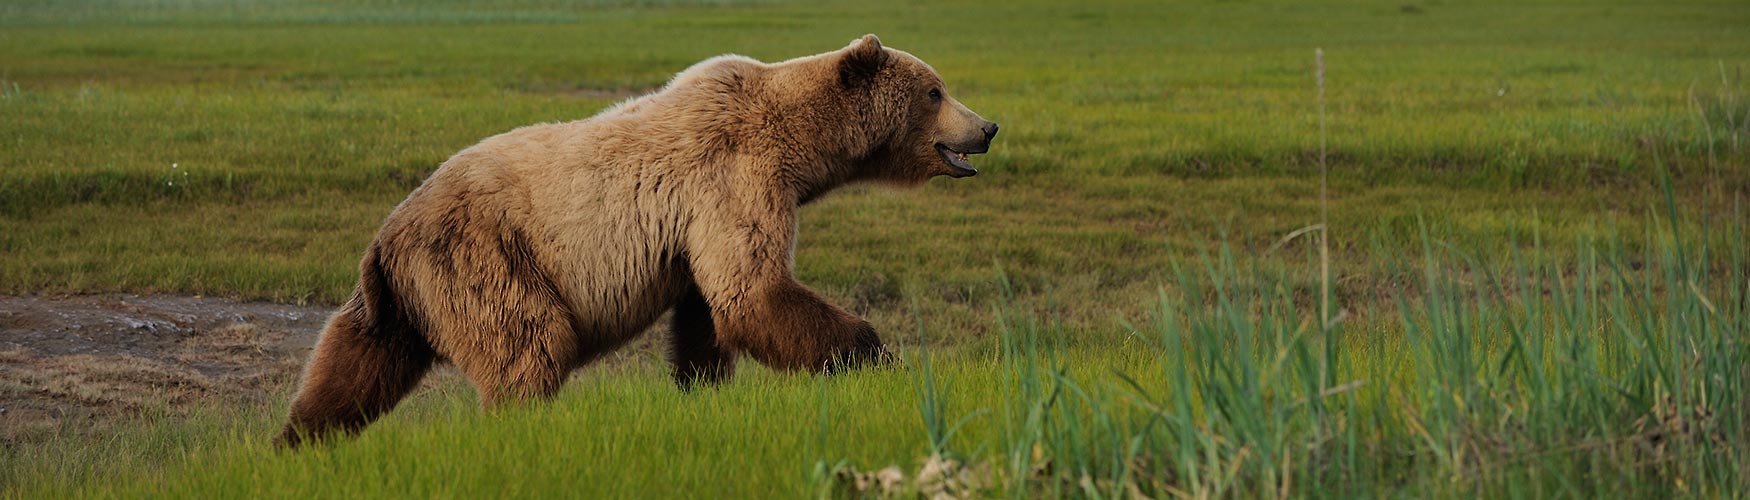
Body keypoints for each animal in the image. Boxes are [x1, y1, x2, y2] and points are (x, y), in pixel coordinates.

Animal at [276, 35, 998, 447]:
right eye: (935, 90)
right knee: (528, 345)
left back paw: (298, 442)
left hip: (399, 296)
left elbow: (710, 313)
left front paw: (703, 389)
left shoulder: (699, 223)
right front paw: (879, 356)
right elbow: (755, 293)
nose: (987, 126)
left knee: (354, 366)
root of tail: (387, 235)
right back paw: (523, 429)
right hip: (484, 255)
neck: (799, 147)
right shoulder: (734, 175)